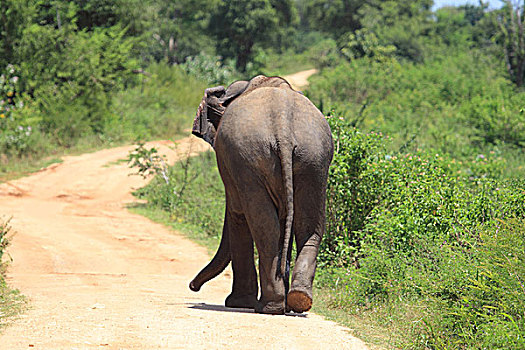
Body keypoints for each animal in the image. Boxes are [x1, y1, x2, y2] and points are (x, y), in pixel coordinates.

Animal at [190, 75, 334, 316]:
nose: (193, 287)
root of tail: (283, 127)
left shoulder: (233, 165)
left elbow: (236, 215)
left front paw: (238, 303)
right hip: (314, 158)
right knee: (307, 225)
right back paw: (297, 300)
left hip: (253, 156)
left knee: (263, 225)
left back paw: (270, 307)